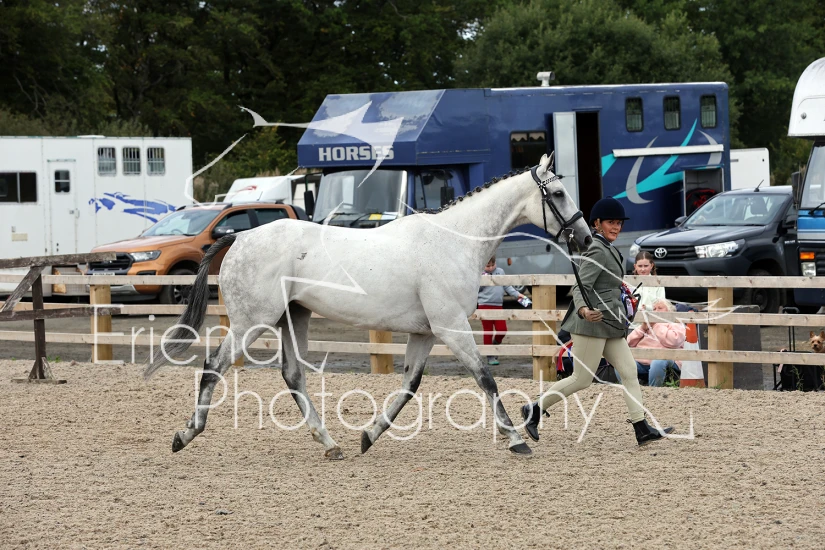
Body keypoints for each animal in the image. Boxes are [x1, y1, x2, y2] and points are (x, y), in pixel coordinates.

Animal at [144, 153, 592, 458]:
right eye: (557, 193)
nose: (585, 237)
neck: (452, 240)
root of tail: (239, 237)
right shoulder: (450, 326)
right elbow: (485, 378)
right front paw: (516, 439)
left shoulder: (425, 333)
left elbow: (409, 386)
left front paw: (368, 435)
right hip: (252, 323)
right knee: (213, 366)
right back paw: (186, 434)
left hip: (293, 318)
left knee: (292, 375)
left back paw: (330, 443)